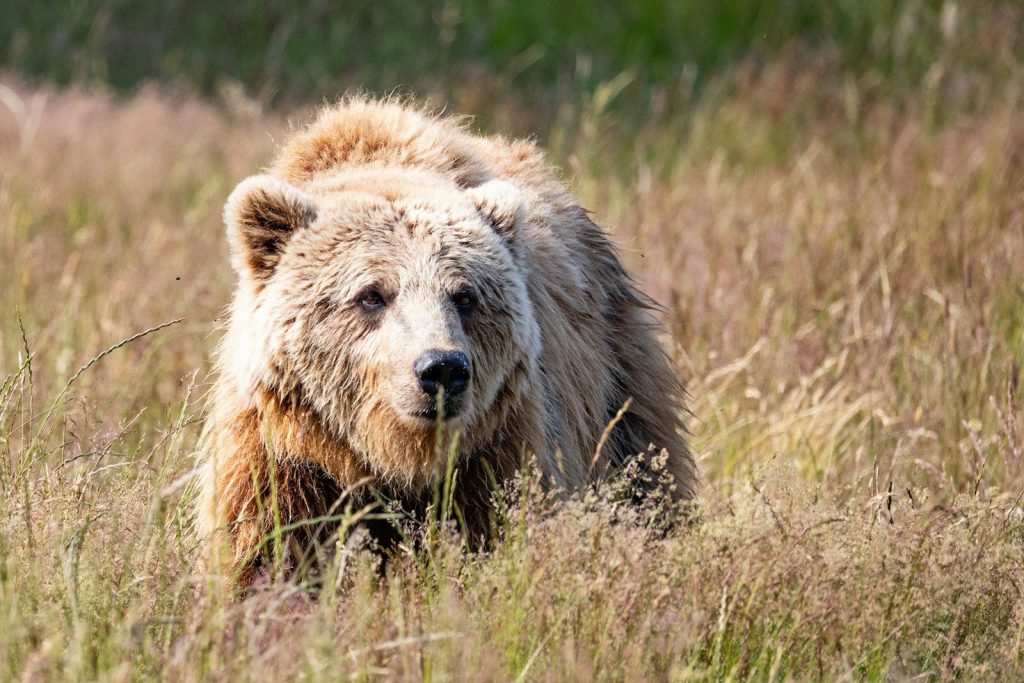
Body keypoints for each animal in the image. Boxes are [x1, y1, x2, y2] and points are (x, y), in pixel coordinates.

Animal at [196, 97, 697, 586]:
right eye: (371, 294)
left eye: (464, 295)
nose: (441, 369)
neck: (392, 458)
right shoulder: (280, 452)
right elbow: (268, 543)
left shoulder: (497, 446)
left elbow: (492, 531)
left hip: (615, 376)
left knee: (644, 470)